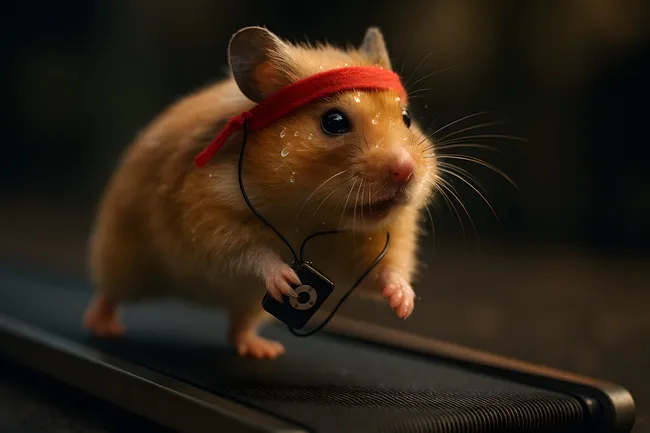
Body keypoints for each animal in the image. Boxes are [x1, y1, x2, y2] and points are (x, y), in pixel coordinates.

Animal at [83, 26, 439, 359]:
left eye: (406, 118)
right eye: (334, 121)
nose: (406, 170)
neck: (312, 214)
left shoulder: (371, 243)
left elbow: (386, 269)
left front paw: (404, 304)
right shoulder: (205, 211)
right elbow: (248, 251)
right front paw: (288, 281)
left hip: (248, 305)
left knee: (237, 327)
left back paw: (263, 350)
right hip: (122, 258)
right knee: (109, 294)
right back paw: (103, 327)